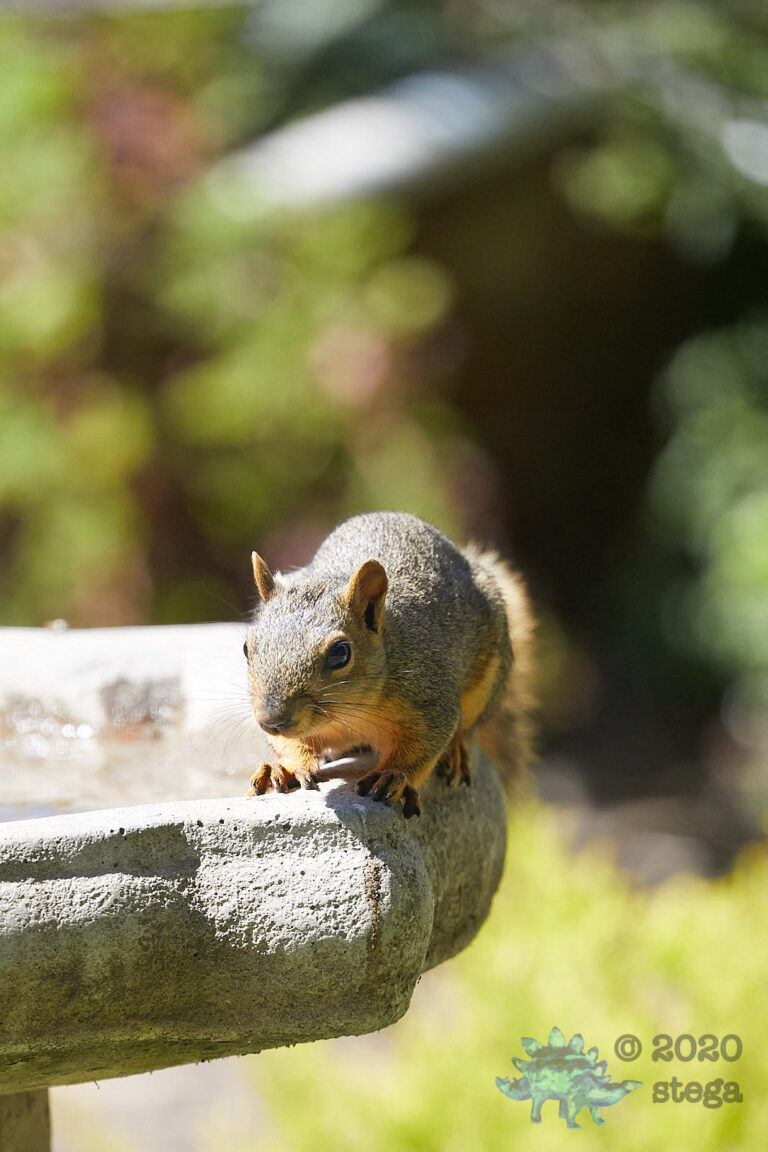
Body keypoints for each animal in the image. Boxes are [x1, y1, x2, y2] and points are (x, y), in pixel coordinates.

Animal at [244, 511, 534, 818]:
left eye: (340, 653)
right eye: (246, 648)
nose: (271, 721)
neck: (350, 716)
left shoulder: (430, 698)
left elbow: (424, 747)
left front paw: (393, 775)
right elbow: (291, 743)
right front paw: (286, 767)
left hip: (489, 678)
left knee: (469, 726)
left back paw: (455, 750)